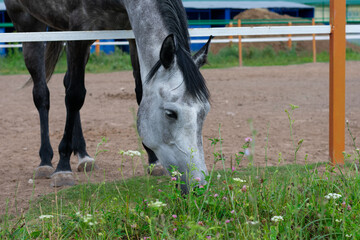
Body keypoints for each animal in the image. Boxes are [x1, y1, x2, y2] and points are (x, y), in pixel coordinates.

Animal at [4, 0, 212, 194]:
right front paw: (63, 168)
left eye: (205, 111)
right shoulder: (78, 34)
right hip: (28, 25)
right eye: (170, 113)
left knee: (66, 82)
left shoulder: (130, 36)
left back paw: (83, 155)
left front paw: (153, 161)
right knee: (42, 94)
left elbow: (140, 92)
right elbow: (75, 96)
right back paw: (46, 161)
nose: (198, 185)